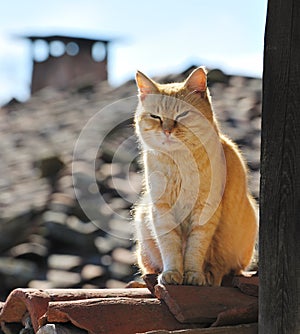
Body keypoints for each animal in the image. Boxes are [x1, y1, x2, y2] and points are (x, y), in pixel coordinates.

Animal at [134, 66, 258, 286]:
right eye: (156, 116)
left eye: (182, 115)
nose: (167, 130)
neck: (179, 162)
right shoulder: (162, 209)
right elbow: (170, 246)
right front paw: (172, 273)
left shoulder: (205, 209)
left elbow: (195, 248)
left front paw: (194, 275)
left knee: (225, 269)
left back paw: (210, 275)